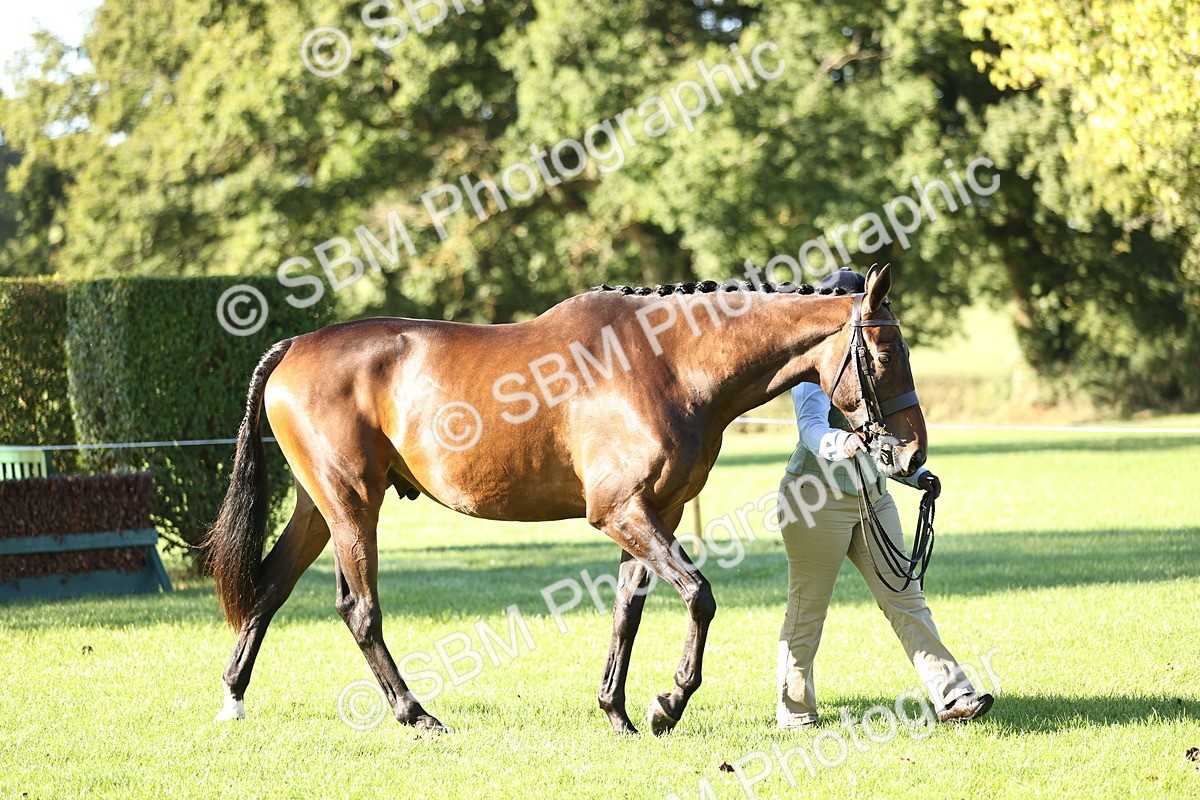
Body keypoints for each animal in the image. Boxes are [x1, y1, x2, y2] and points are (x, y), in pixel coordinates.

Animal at [205, 263, 926, 735]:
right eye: (886, 351)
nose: (913, 454)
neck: (665, 362)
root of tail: (293, 346)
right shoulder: (621, 512)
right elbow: (699, 595)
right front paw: (668, 704)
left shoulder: (654, 514)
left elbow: (627, 612)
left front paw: (620, 712)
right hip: (353, 507)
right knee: (359, 611)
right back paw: (416, 714)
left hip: (318, 509)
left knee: (270, 588)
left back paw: (234, 699)